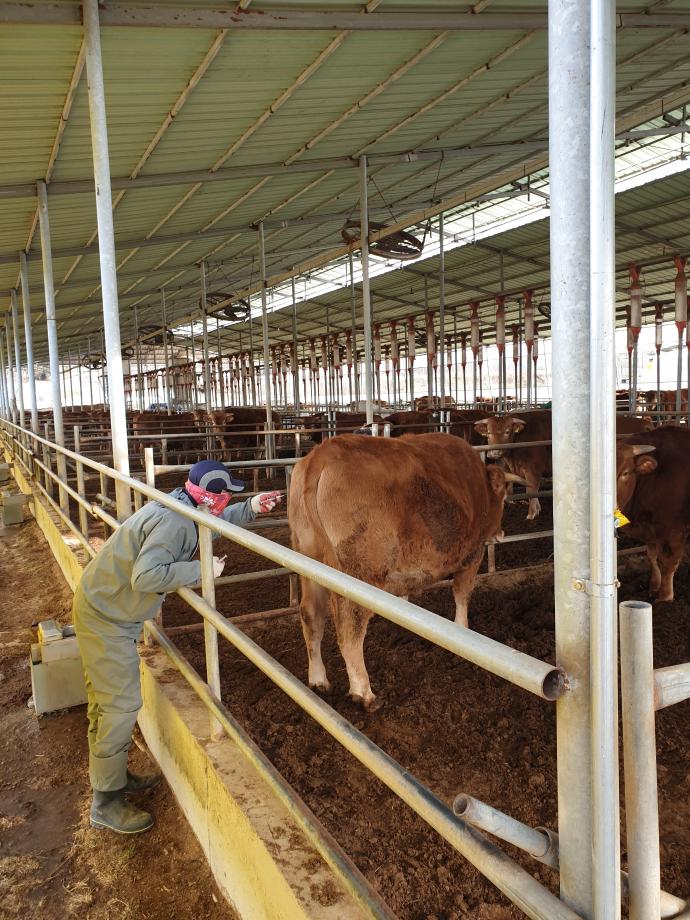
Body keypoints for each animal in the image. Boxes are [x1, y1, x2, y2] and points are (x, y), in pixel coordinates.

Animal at [616, 426, 684, 604]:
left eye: (625, 473)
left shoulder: (676, 530)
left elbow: (670, 562)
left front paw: (666, 596)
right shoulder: (650, 529)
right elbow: (652, 556)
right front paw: (654, 585)